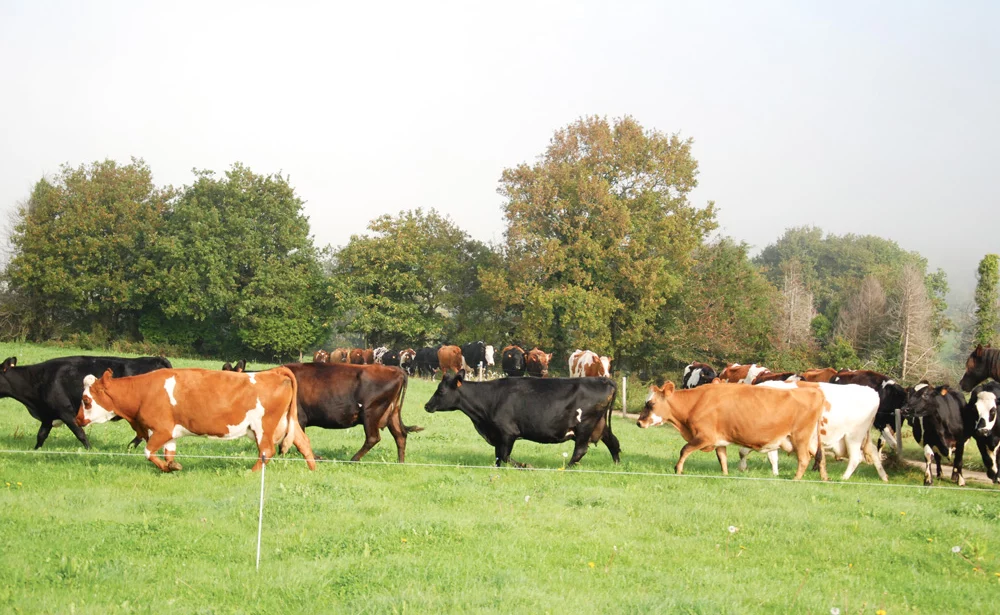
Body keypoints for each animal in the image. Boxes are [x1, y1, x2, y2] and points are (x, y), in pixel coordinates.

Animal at [0, 354, 172, 450]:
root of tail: (157, 359)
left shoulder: (66, 412)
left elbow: (80, 434)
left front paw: (90, 450)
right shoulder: (48, 415)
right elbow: (41, 435)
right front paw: (35, 450)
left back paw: (130, 447)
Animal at [76, 368, 314, 474]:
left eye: (86, 400)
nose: (78, 419)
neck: (144, 392)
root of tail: (273, 372)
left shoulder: (161, 430)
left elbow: (148, 452)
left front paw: (169, 467)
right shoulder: (171, 434)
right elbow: (167, 454)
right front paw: (171, 466)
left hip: (263, 427)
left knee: (266, 451)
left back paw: (251, 472)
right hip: (286, 424)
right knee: (303, 442)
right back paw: (312, 470)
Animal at [426, 370, 620, 466]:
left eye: (441, 390)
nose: (426, 406)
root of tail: (604, 380)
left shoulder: (507, 432)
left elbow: (504, 456)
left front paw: (526, 465)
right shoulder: (498, 436)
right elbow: (498, 458)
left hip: (584, 426)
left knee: (580, 450)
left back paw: (565, 468)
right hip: (600, 425)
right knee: (613, 443)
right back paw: (617, 465)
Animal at [640, 380, 828, 482]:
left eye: (651, 404)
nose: (639, 422)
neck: (696, 402)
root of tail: (814, 391)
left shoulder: (705, 437)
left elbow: (684, 449)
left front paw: (678, 469)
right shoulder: (719, 440)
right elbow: (722, 458)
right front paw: (725, 475)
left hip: (800, 437)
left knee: (804, 459)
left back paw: (796, 479)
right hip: (809, 439)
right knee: (821, 458)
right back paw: (825, 478)